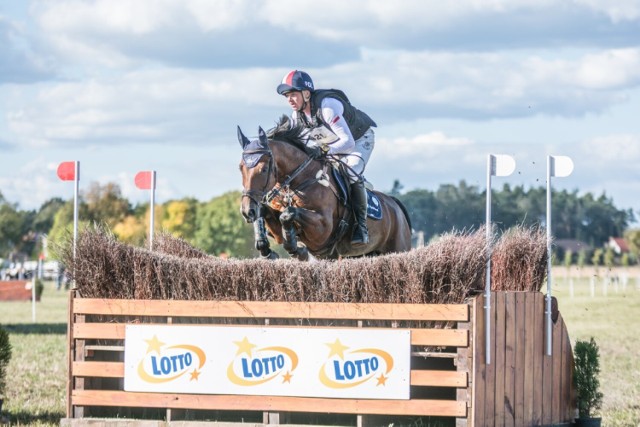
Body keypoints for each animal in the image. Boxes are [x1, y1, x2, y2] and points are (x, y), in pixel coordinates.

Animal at [238, 118, 412, 260]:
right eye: (240, 168)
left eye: (263, 169)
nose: (247, 211)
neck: (302, 179)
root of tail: (394, 204)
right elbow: (266, 214)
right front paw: (267, 249)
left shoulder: (323, 229)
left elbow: (288, 214)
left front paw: (297, 249)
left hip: (398, 247)